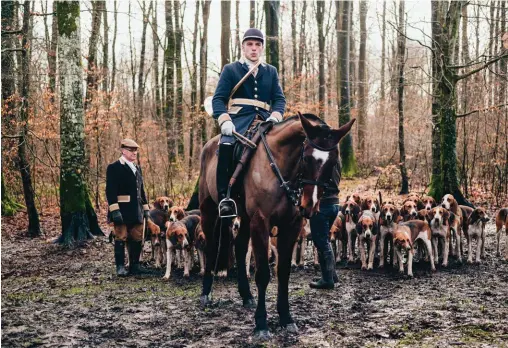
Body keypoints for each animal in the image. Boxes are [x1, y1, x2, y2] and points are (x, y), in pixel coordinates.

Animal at [196, 112, 356, 340]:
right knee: (211, 247)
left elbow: (283, 272)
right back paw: (206, 294)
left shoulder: (291, 226)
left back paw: (246, 296)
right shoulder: (261, 222)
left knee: (240, 247)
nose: (309, 206)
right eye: (306, 158)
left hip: (245, 218)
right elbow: (263, 273)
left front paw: (286, 318)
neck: (281, 169)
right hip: (209, 212)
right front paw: (261, 324)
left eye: (334, 161)